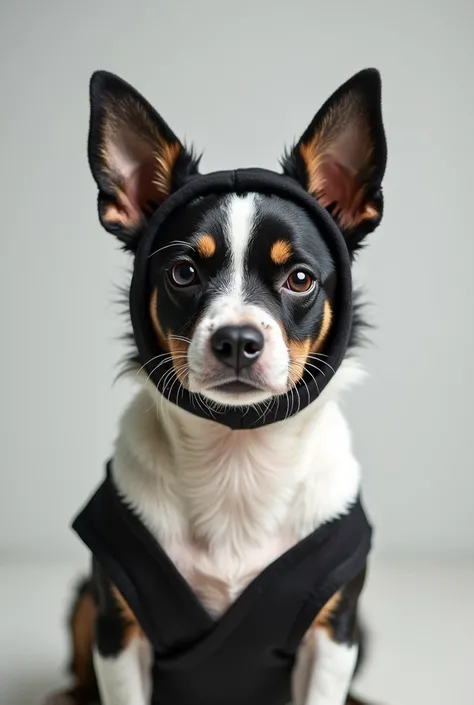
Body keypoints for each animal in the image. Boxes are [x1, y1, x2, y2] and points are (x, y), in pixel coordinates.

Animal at [46, 67, 386, 704]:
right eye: (184, 273)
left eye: (300, 278)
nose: (236, 339)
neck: (238, 458)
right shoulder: (117, 632)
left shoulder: (333, 636)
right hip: (85, 602)